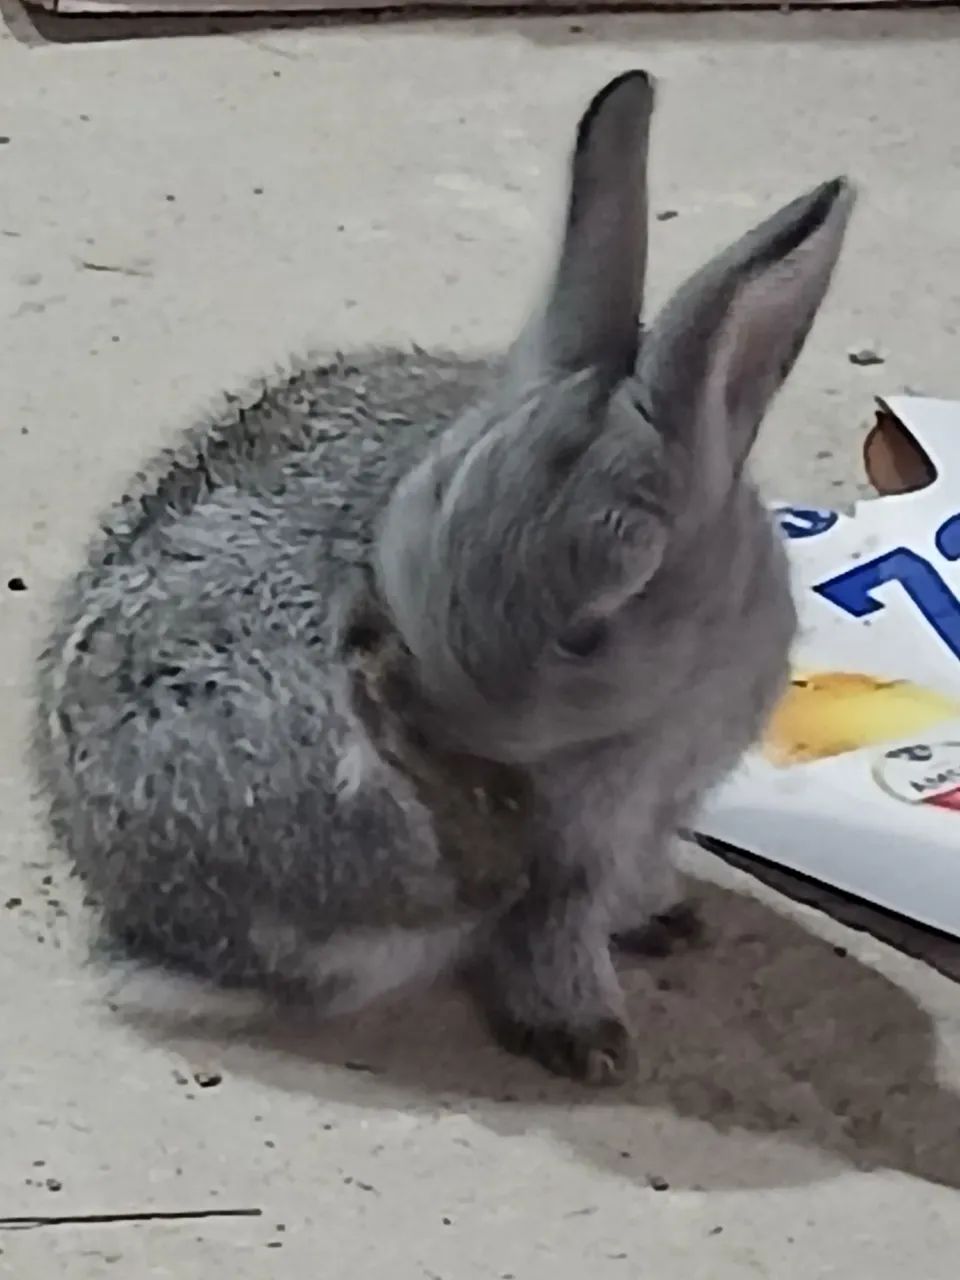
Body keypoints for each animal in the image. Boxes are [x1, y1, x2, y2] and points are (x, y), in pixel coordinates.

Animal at [34, 70, 855, 1084]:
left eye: (587, 632)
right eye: (393, 566)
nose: (425, 708)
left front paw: (659, 923)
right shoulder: (576, 847)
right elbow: (550, 931)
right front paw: (592, 1041)